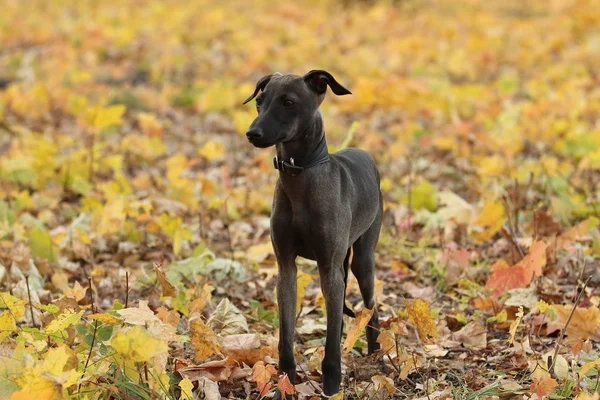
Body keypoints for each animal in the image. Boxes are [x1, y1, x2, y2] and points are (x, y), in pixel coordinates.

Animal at [245, 69, 382, 396]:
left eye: (289, 102)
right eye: (259, 101)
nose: (252, 133)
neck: (300, 176)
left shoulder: (328, 268)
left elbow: (331, 344)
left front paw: (332, 387)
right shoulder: (286, 268)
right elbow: (286, 335)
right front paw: (285, 382)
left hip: (362, 259)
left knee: (371, 308)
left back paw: (377, 353)